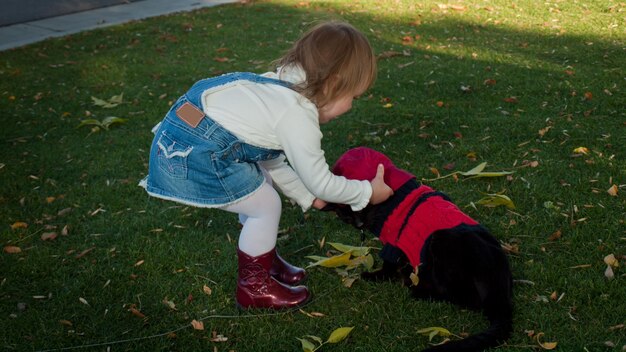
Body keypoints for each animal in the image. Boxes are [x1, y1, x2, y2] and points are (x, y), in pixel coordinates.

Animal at [324, 148, 510, 352]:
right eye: (346, 217)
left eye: (364, 207)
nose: (358, 224)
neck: (395, 197)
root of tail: (501, 289)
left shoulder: (394, 242)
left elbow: (388, 266)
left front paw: (374, 276)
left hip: (440, 240)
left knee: (462, 297)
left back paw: (417, 288)